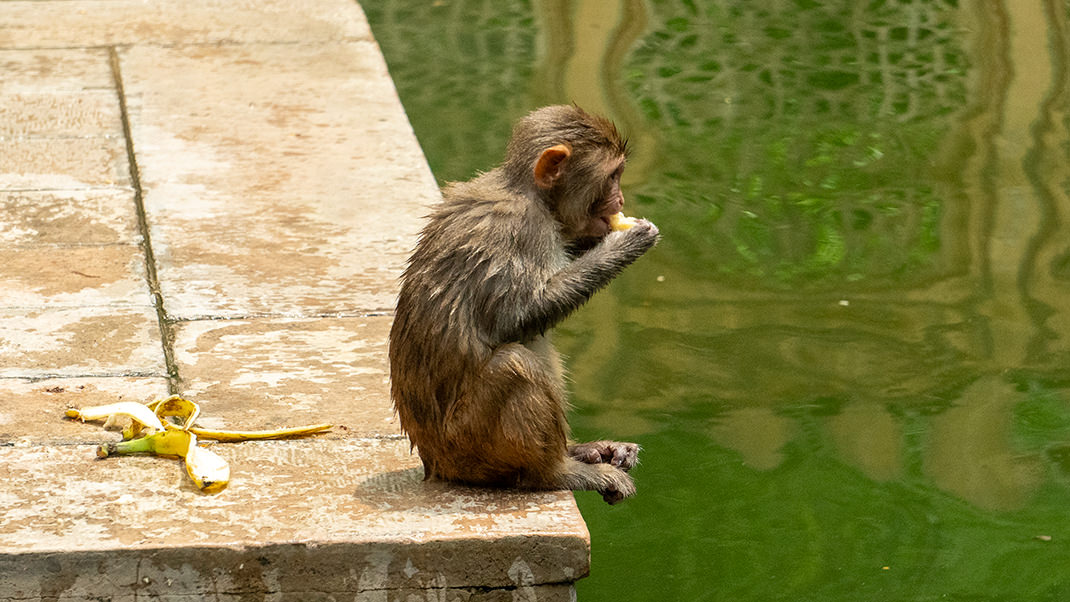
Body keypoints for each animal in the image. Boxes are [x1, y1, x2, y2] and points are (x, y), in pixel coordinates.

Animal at [391, 104, 659, 504]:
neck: (529, 193)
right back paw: (555, 471)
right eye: (613, 176)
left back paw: (579, 451)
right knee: (514, 363)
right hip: (467, 447)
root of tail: (433, 463)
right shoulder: (524, 228)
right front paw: (625, 244)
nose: (621, 200)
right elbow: (516, 318)